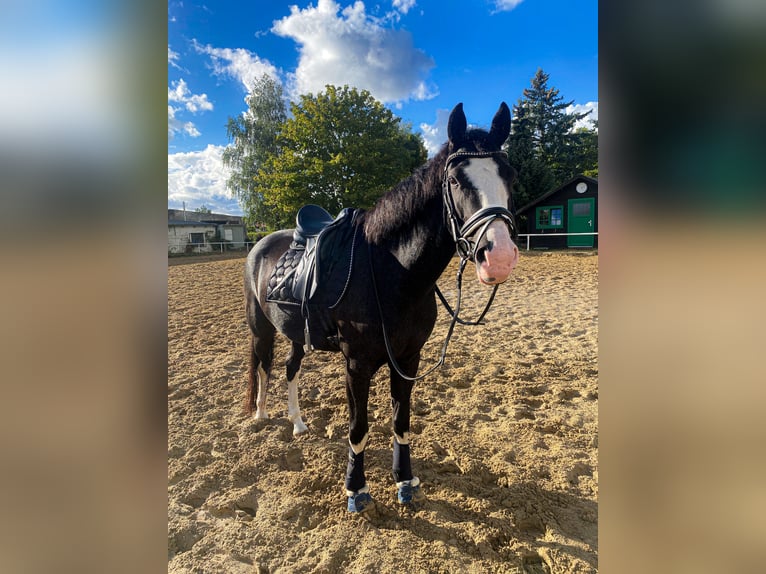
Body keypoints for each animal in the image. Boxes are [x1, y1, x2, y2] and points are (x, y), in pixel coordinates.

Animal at [243, 102, 520, 512]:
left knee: (291, 369)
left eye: (510, 176)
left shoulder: (408, 359)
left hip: (296, 334)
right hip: (261, 328)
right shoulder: (357, 365)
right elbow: (358, 428)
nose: (499, 257)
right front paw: (356, 490)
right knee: (264, 364)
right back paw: (262, 414)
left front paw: (404, 480)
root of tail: (261, 243)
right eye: (456, 181)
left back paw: (297, 422)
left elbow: (401, 421)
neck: (392, 272)